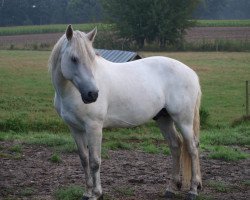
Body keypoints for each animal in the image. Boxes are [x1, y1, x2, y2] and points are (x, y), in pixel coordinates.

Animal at [48, 25, 201, 200]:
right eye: (74, 58)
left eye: (92, 58)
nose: (92, 94)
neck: (71, 91)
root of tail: (191, 73)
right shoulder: (75, 128)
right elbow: (84, 159)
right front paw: (87, 193)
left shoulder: (94, 127)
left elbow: (95, 161)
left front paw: (97, 194)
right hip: (164, 118)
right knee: (175, 145)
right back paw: (171, 188)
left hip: (183, 120)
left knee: (192, 148)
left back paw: (193, 190)